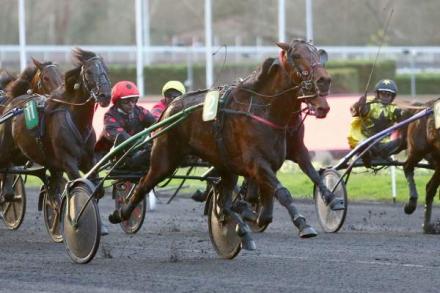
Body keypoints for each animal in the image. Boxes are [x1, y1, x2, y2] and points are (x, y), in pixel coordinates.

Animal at [0, 48, 110, 201]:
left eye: (106, 70)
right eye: (88, 72)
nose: (105, 95)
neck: (78, 122)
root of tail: (12, 103)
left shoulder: (89, 161)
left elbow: (97, 189)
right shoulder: (68, 162)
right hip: (5, 151)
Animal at [110, 39, 330, 249]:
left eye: (317, 52)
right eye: (297, 55)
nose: (324, 80)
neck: (262, 111)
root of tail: (171, 106)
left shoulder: (272, 164)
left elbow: (266, 209)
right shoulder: (257, 164)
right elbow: (282, 192)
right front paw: (303, 223)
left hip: (223, 165)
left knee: (224, 203)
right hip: (164, 160)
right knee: (142, 185)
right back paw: (121, 213)